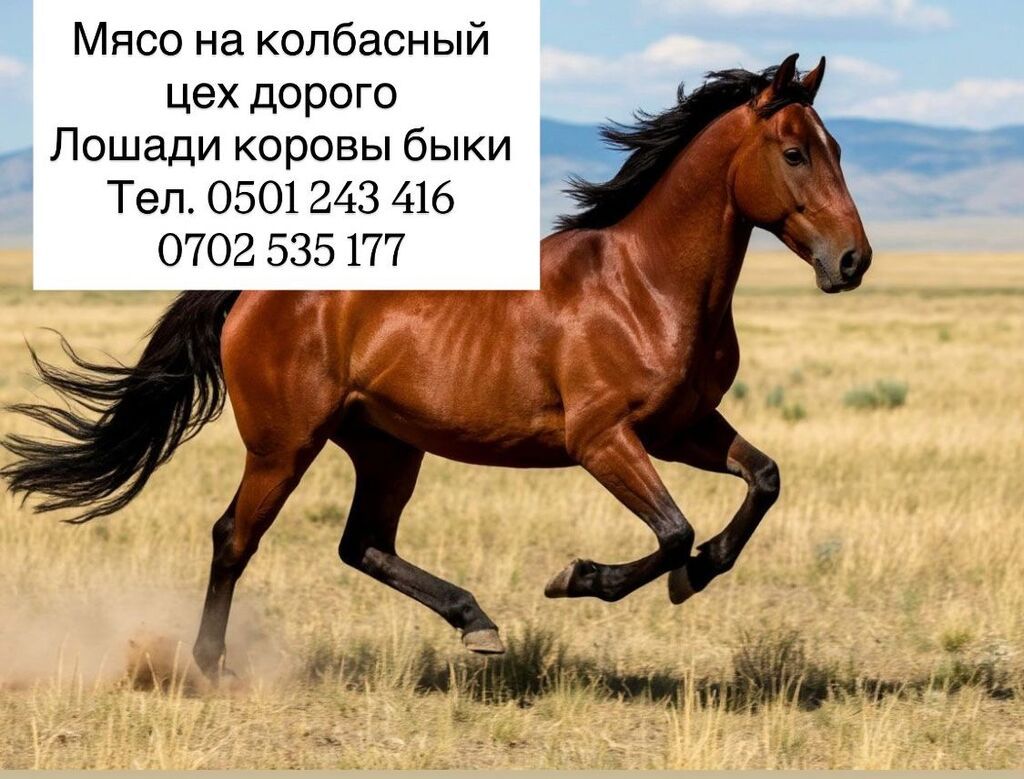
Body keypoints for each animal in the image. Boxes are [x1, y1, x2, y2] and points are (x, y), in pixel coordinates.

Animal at [2, 54, 871, 678]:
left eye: (837, 148)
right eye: (795, 152)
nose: (853, 260)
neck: (643, 283)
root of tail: (252, 291)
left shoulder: (681, 426)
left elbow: (762, 481)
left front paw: (698, 573)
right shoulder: (603, 439)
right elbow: (673, 528)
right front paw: (579, 577)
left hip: (388, 446)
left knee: (361, 544)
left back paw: (476, 624)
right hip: (285, 445)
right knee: (234, 537)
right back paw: (211, 666)